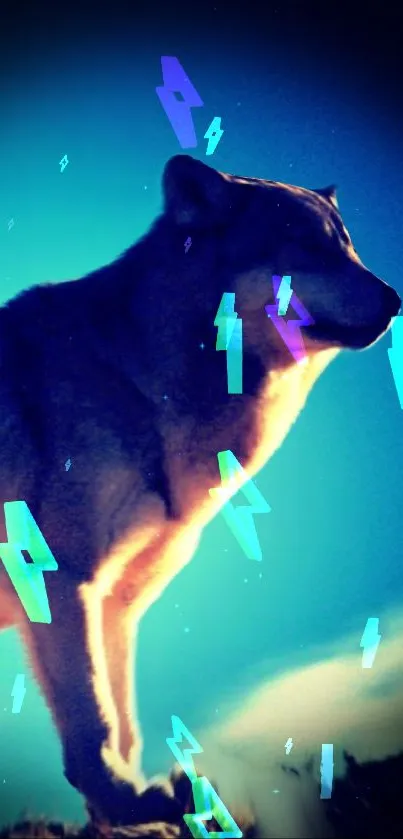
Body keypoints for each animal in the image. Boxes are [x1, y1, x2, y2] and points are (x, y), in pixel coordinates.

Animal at [0, 154, 400, 828]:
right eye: (306, 245)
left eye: (349, 246)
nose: (397, 300)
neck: (137, 378)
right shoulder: (60, 574)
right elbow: (95, 720)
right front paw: (126, 800)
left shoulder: (117, 604)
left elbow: (124, 720)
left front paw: (128, 808)